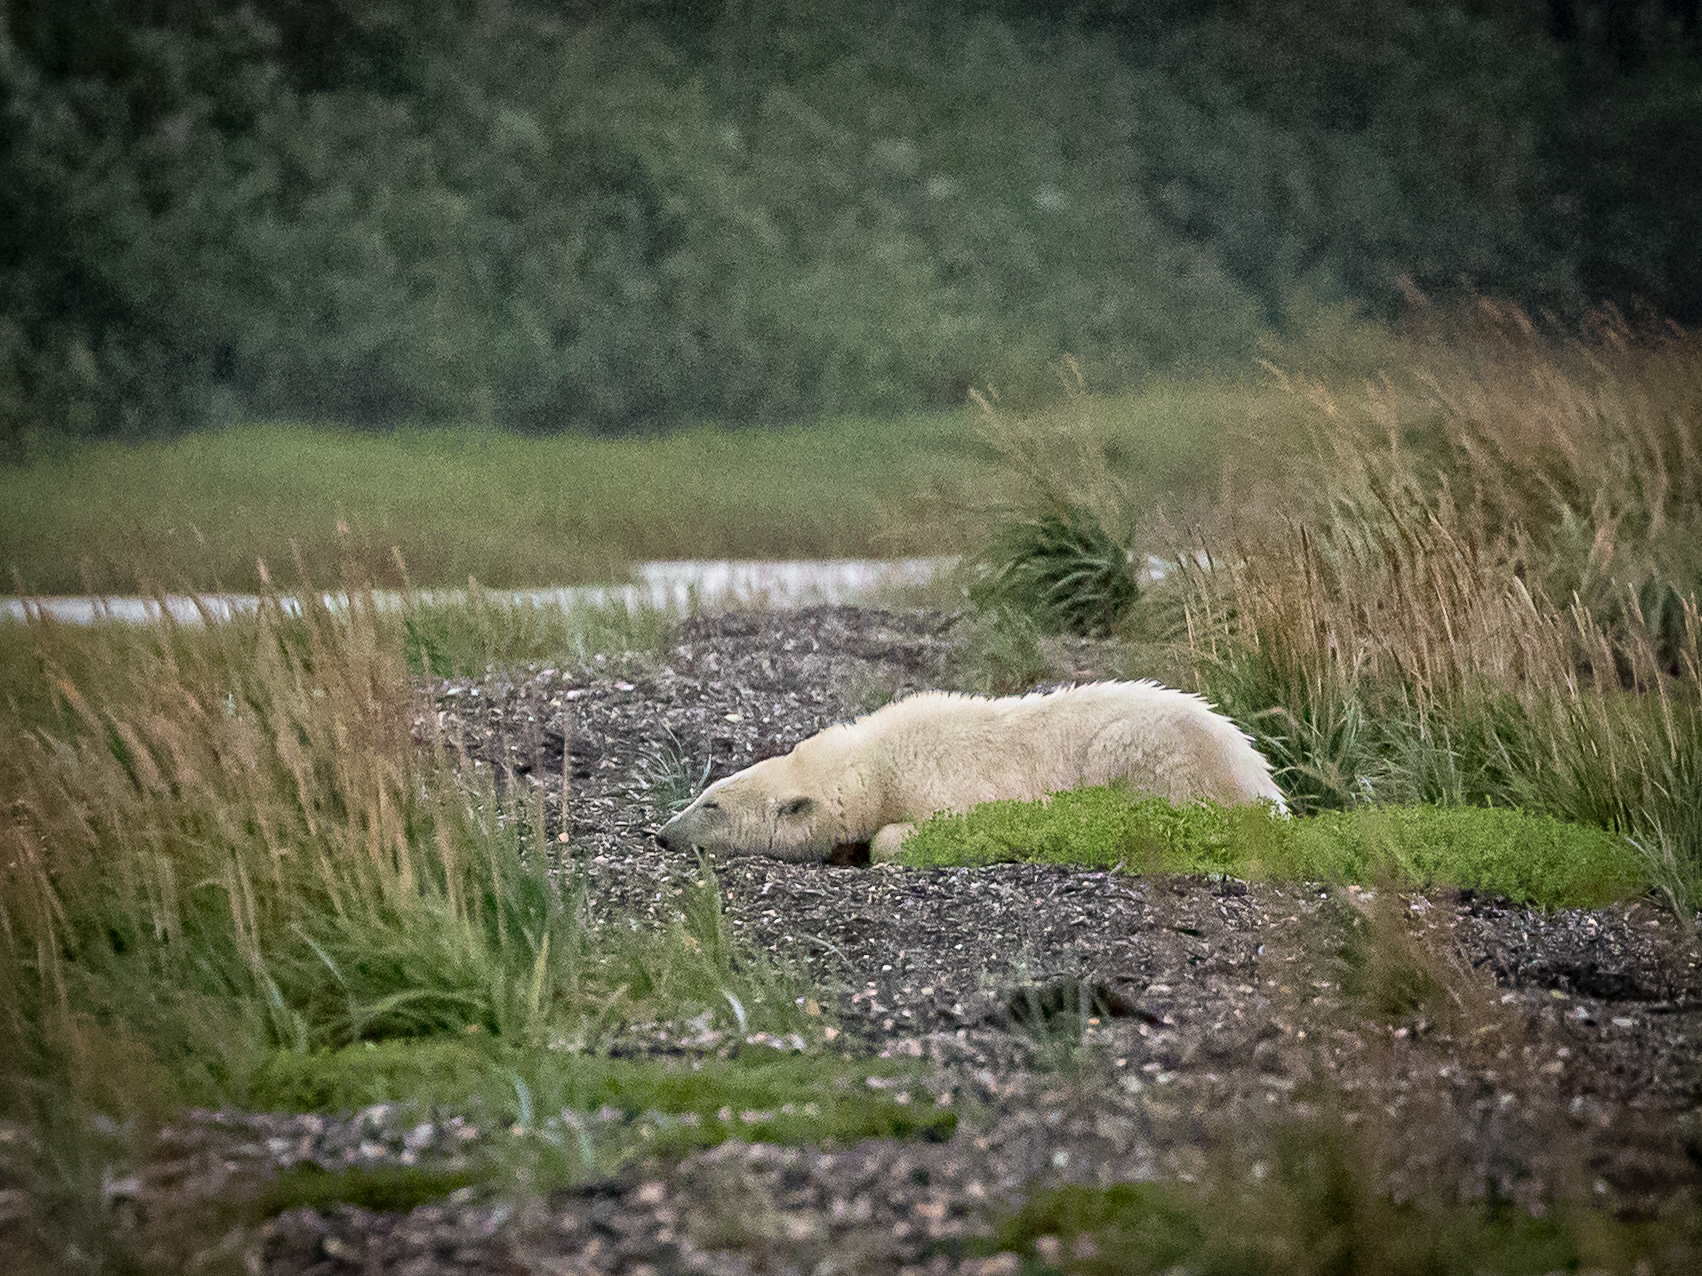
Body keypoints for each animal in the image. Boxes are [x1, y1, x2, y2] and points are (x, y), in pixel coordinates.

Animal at [653, 681, 1284, 864]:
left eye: (711, 804)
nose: (661, 834)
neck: (877, 764)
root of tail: (1265, 783)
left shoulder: (953, 781)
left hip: (1154, 752)